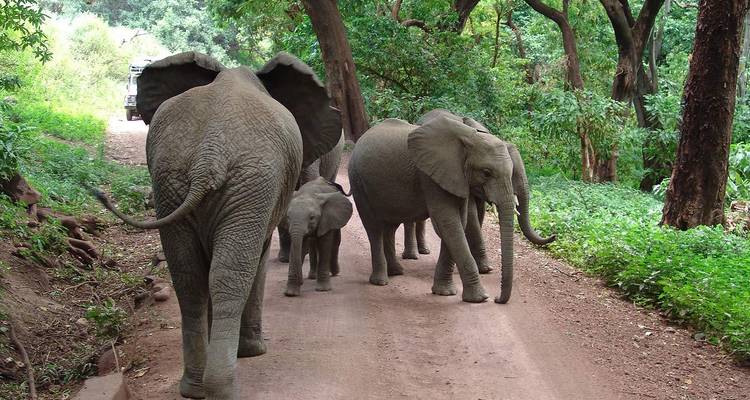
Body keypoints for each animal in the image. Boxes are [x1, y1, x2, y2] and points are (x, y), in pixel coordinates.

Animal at [348, 116, 554, 304]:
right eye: (486, 173)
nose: (497, 299)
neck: (468, 137)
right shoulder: (430, 175)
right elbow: (448, 222)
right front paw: (479, 298)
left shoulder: (455, 177)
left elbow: (458, 223)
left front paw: (444, 293)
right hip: (358, 181)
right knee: (373, 228)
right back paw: (381, 281)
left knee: (390, 226)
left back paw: (396, 272)